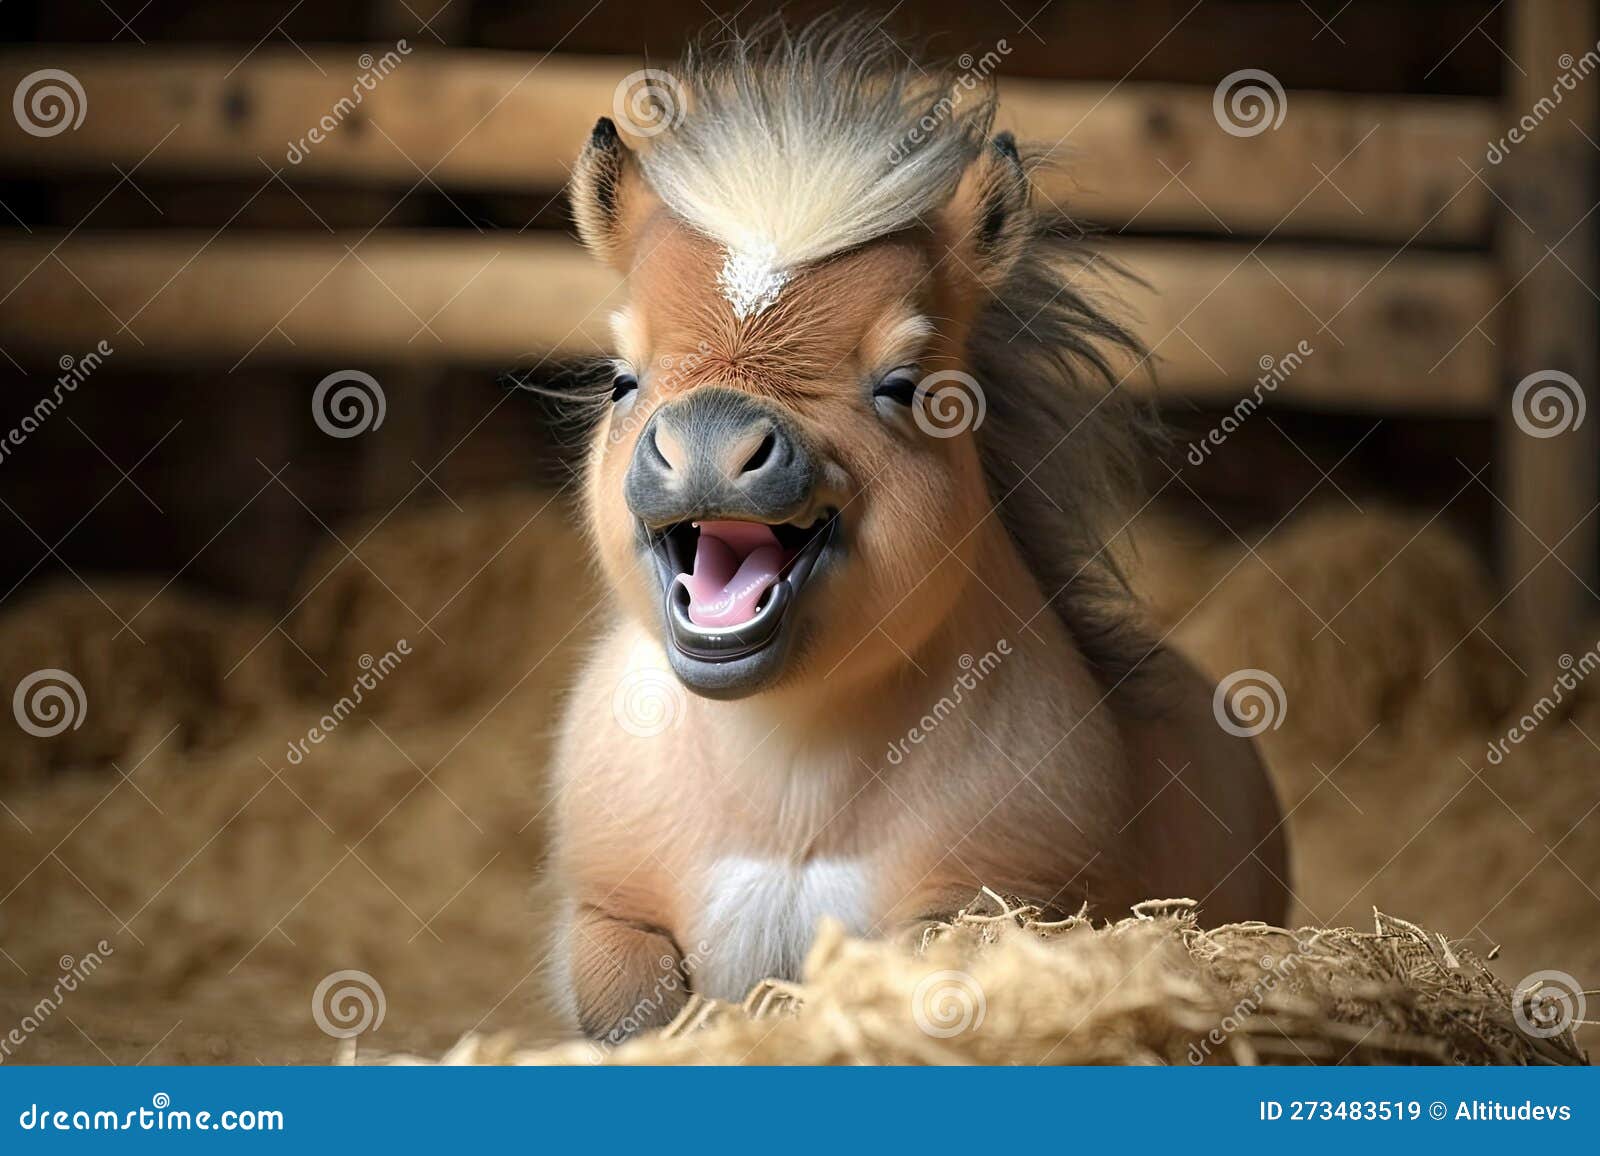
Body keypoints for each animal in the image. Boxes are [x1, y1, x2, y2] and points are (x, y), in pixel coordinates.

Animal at [543, 18, 1288, 1043]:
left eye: (903, 386)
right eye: (623, 379)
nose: (711, 442)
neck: (787, 791)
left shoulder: (997, 903)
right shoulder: (606, 910)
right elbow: (629, 998)